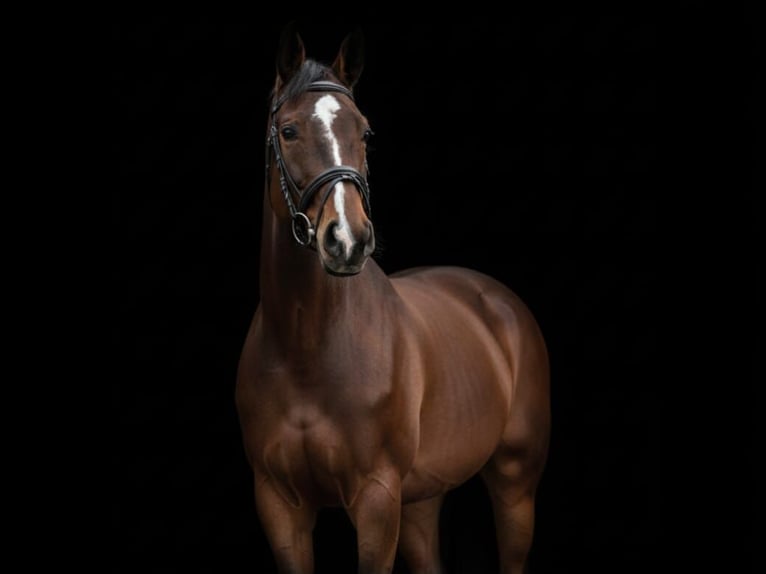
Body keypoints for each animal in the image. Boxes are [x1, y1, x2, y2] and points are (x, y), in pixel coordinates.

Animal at [236, 24, 550, 574]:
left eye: (364, 133)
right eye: (289, 131)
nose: (348, 238)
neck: (306, 348)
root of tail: (500, 302)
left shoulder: (377, 498)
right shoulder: (278, 504)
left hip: (515, 484)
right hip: (421, 499)